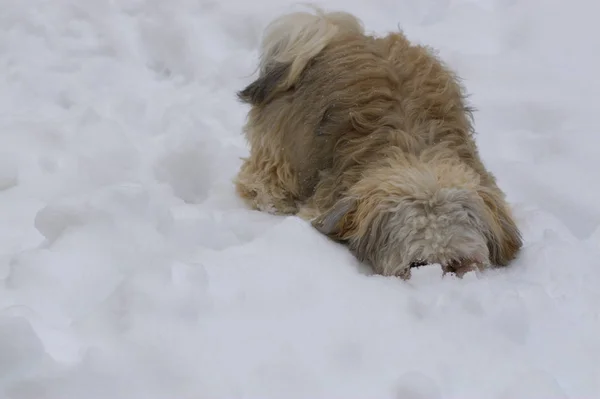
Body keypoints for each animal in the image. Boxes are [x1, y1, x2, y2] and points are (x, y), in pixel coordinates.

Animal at [233, 7, 520, 282]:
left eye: (458, 264)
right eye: (416, 264)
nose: (435, 279)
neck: (416, 153)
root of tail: (336, 33)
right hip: (284, 150)